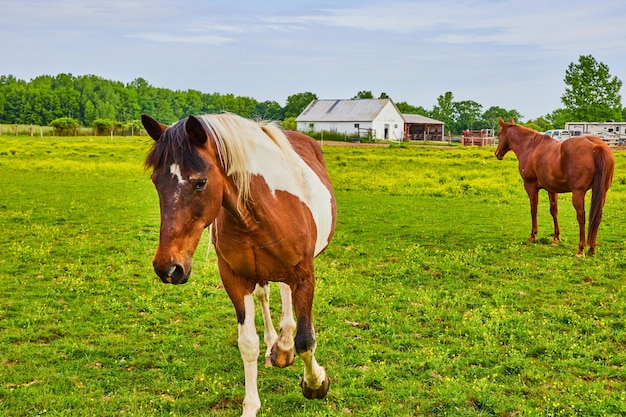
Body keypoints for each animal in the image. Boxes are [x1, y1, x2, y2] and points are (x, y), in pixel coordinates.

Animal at [141, 112, 336, 414]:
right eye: (155, 180)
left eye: (200, 182)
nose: (168, 267)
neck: (264, 211)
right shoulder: (234, 278)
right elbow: (247, 343)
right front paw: (250, 406)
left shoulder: (305, 275)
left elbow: (306, 341)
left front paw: (316, 383)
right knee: (268, 294)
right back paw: (277, 345)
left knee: (286, 295)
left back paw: (285, 346)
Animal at [494, 115, 612, 255]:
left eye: (498, 134)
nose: (497, 153)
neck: (530, 146)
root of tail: (597, 146)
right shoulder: (552, 189)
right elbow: (554, 210)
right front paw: (556, 237)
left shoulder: (530, 186)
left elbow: (533, 209)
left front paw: (533, 235)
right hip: (602, 192)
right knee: (597, 216)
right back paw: (592, 248)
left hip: (578, 193)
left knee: (581, 216)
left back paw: (581, 248)